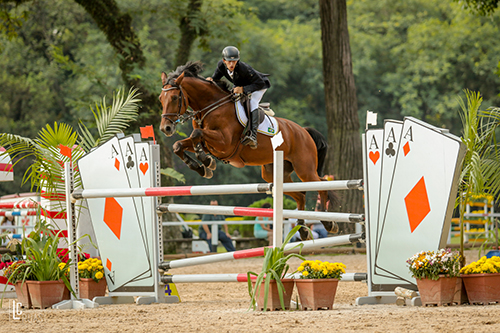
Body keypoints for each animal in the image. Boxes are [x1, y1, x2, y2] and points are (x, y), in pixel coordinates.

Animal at [159, 61, 340, 239]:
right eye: (161, 99)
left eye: (175, 97)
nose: (165, 128)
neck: (211, 107)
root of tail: (303, 131)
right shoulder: (209, 144)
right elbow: (179, 145)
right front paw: (202, 168)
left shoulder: (224, 143)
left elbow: (196, 134)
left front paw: (206, 161)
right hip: (273, 173)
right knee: (300, 194)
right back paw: (302, 229)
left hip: (305, 169)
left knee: (321, 184)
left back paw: (328, 222)